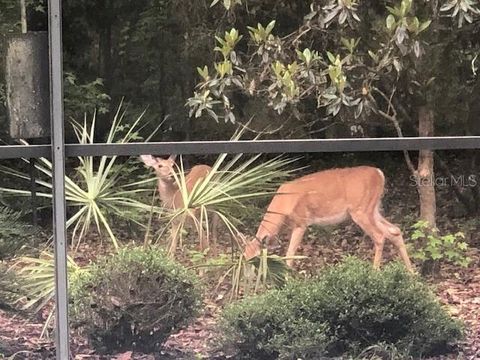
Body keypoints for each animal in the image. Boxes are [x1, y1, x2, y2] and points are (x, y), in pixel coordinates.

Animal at [242, 166, 414, 272]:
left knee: (380, 236)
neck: (282, 206)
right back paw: (411, 273)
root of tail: (379, 174)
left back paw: (375, 272)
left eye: (255, 261)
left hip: (361, 210)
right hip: (373, 209)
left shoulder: (301, 222)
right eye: (243, 258)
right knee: (395, 230)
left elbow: (290, 253)